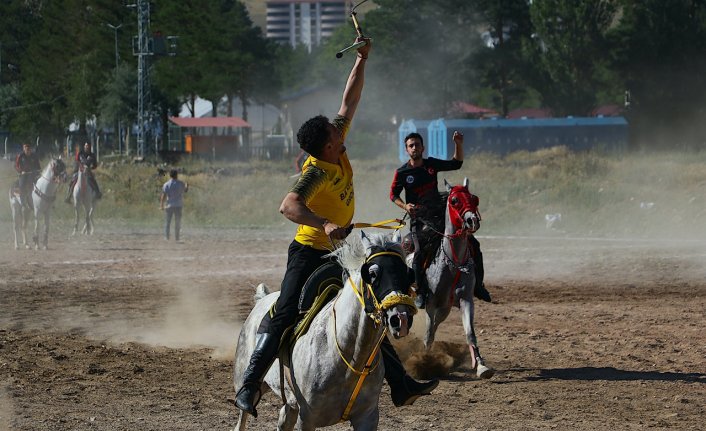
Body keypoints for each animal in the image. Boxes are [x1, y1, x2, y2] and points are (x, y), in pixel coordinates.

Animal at [234, 233, 416, 431]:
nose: (401, 319)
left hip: (290, 405)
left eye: (407, 272)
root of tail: (262, 299)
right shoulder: (306, 419)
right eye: (373, 274)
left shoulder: (367, 417)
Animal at [412, 178, 496, 378]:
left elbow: (470, 333)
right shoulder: (431, 303)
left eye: (474, 198)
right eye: (454, 200)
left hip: (445, 309)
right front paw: (425, 362)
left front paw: (482, 366)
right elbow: (428, 334)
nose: (472, 220)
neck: (453, 264)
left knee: (436, 325)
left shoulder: (466, 300)